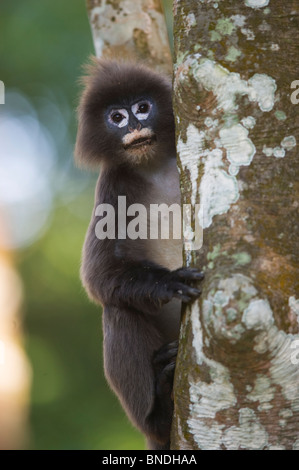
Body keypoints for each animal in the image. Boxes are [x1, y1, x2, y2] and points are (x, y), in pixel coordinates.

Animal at [76, 60, 205, 450]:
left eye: (143, 107)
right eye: (116, 116)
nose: (134, 126)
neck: (155, 165)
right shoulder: (113, 185)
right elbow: (98, 275)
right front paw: (168, 283)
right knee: (119, 309)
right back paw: (160, 410)